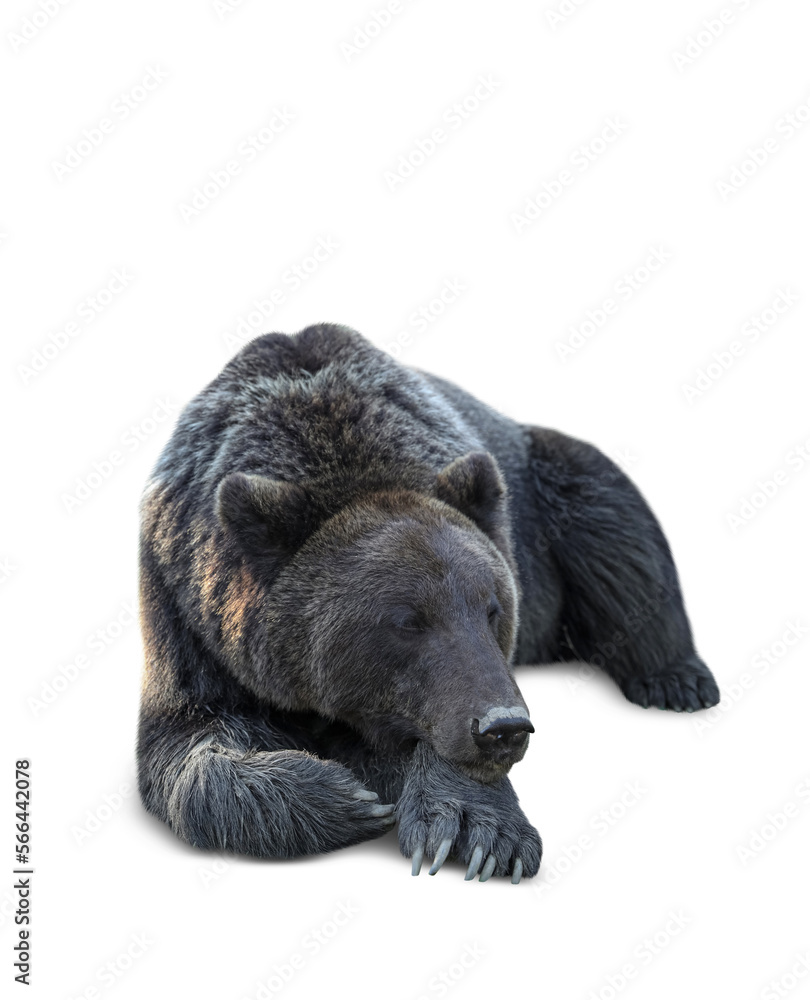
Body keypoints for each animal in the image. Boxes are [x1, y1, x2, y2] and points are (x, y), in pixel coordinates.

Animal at [136, 322, 720, 883]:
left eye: (493, 609)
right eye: (407, 621)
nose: (504, 727)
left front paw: (475, 830)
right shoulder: (187, 620)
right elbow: (192, 743)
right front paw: (347, 797)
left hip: (554, 486)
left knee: (620, 538)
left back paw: (677, 680)